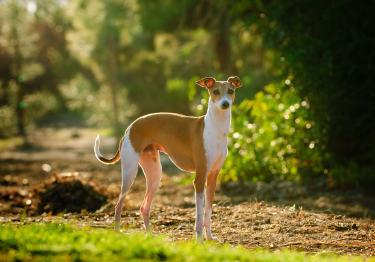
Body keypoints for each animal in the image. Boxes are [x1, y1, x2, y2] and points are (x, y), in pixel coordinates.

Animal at [94, 75, 244, 242]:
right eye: (216, 91)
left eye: (230, 91)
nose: (225, 104)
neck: (215, 129)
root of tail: (129, 127)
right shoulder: (199, 179)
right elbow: (199, 216)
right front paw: (199, 241)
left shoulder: (212, 177)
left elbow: (208, 213)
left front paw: (210, 238)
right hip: (129, 173)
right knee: (118, 205)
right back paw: (117, 233)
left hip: (155, 175)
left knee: (144, 207)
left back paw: (150, 235)